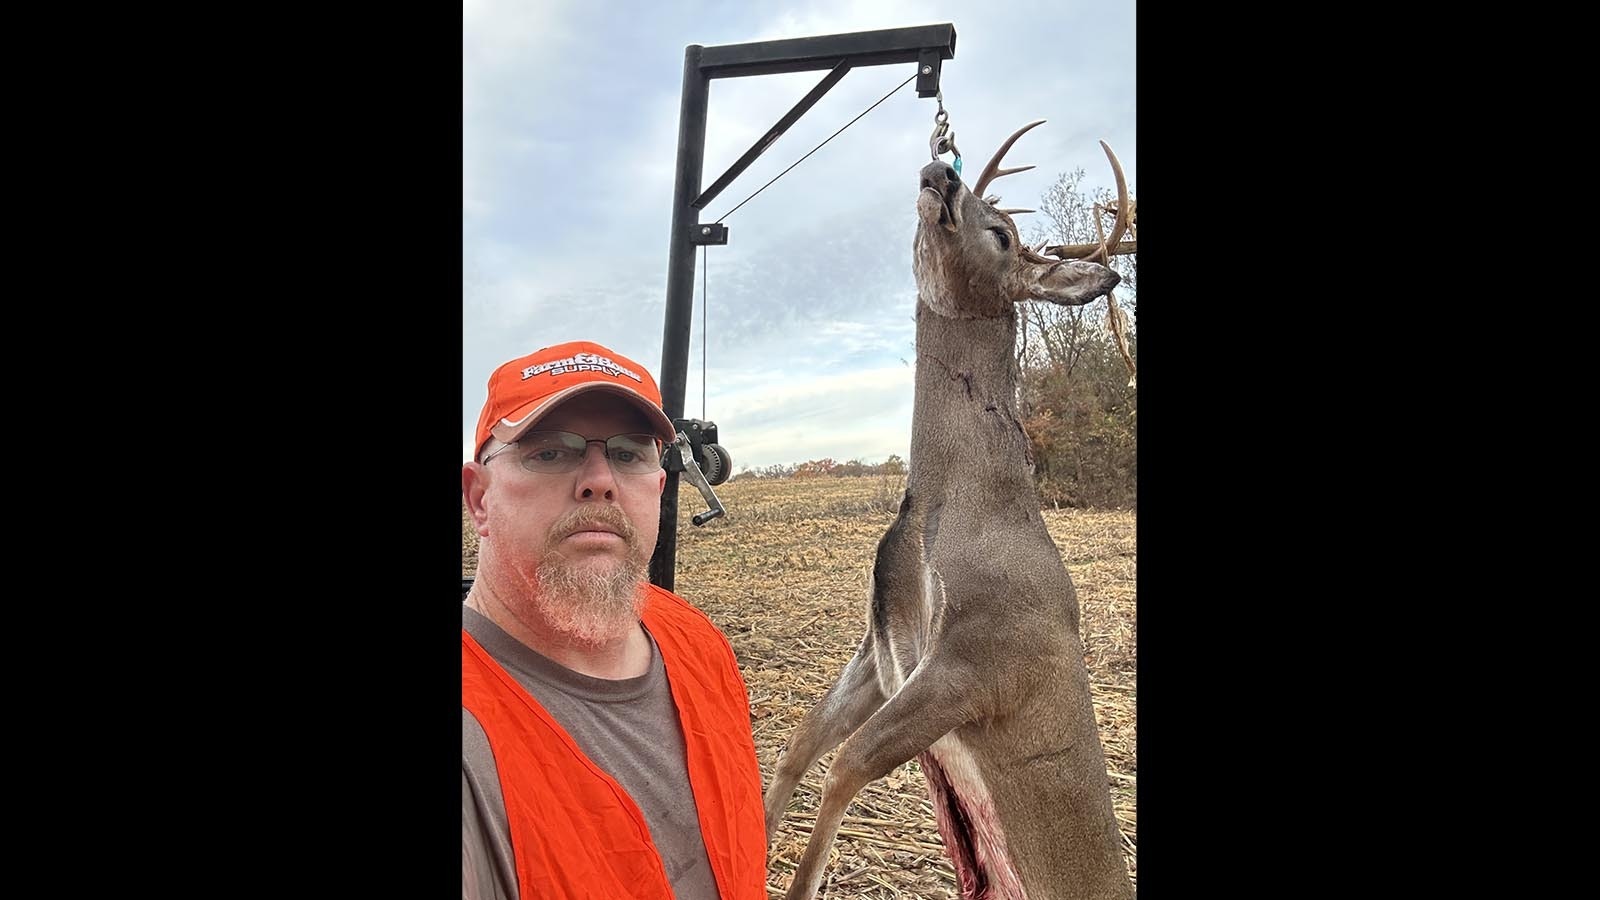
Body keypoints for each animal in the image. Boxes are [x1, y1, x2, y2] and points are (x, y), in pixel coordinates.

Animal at [762, 122, 1134, 900]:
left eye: (1001, 233)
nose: (942, 171)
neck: (949, 509)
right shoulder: (879, 644)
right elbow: (801, 746)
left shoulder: (980, 657)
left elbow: (846, 765)